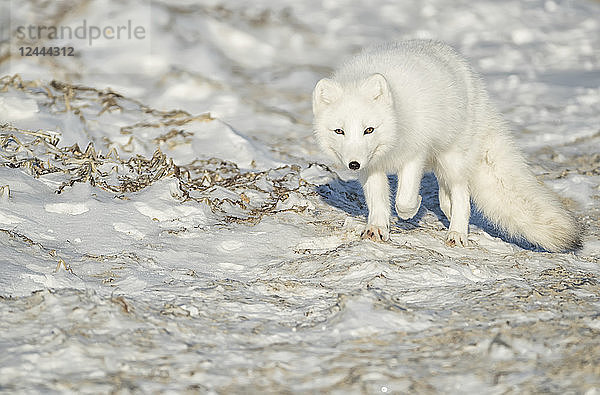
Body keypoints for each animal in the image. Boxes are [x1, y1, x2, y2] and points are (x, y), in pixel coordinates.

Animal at [314, 38, 580, 252]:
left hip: (453, 157)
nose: (353, 164)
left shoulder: (416, 152)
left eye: (369, 129)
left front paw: (412, 208)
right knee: (446, 188)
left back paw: (457, 231)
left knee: (462, 192)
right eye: (339, 131)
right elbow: (377, 200)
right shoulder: (372, 166)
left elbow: (404, 199)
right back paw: (447, 206)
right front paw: (377, 228)